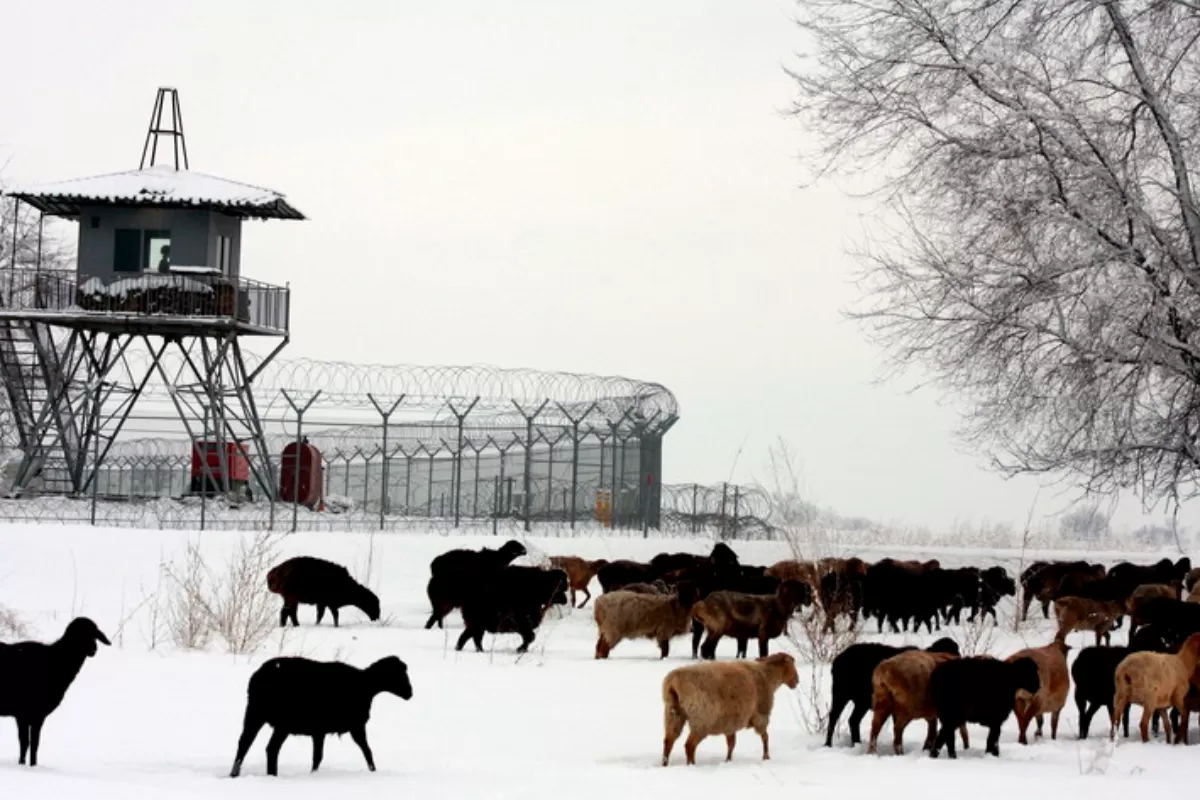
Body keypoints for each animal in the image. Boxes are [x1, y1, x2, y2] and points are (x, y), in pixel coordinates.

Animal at [0, 618, 109, 767]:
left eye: (94, 634)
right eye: (79, 634)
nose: (93, 649)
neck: (55, 661)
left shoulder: (35, 715)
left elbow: (33, 743)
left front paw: (31, 765)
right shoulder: (24, 713)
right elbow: (26, 742)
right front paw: (27, 766)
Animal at [229, 657, 412, 777]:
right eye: (397, 674)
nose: (410, 693)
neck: (366, 686)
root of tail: (258, 676)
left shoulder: (320, 731)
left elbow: (318, 756)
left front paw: (314, 774)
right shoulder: (356, 726)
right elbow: (367, 750)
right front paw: (373, 771)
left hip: (255, 713)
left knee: (246, 743)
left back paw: (237, 774)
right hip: (280, 721)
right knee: (269, 748)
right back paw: (270, 775)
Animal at [662, 652, 801, 767]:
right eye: (792, 664)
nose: (797, 681)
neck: (767, 676)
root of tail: (673, 681)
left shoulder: (730, 723)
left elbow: (731, 744)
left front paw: (728, 761)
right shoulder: (761, 715)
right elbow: (765, 737)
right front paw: (766, 757)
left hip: (673, 714)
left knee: (668, 741)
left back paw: (665, 763)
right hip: (702, 719)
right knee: (689, 745)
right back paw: (691, 765)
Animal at [820, 633, 960, 748]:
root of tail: (838, 659)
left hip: (862, 702)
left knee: (853, 720)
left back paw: (857, 743)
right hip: (840, 694)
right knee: (833, 717)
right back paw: (828, 744)